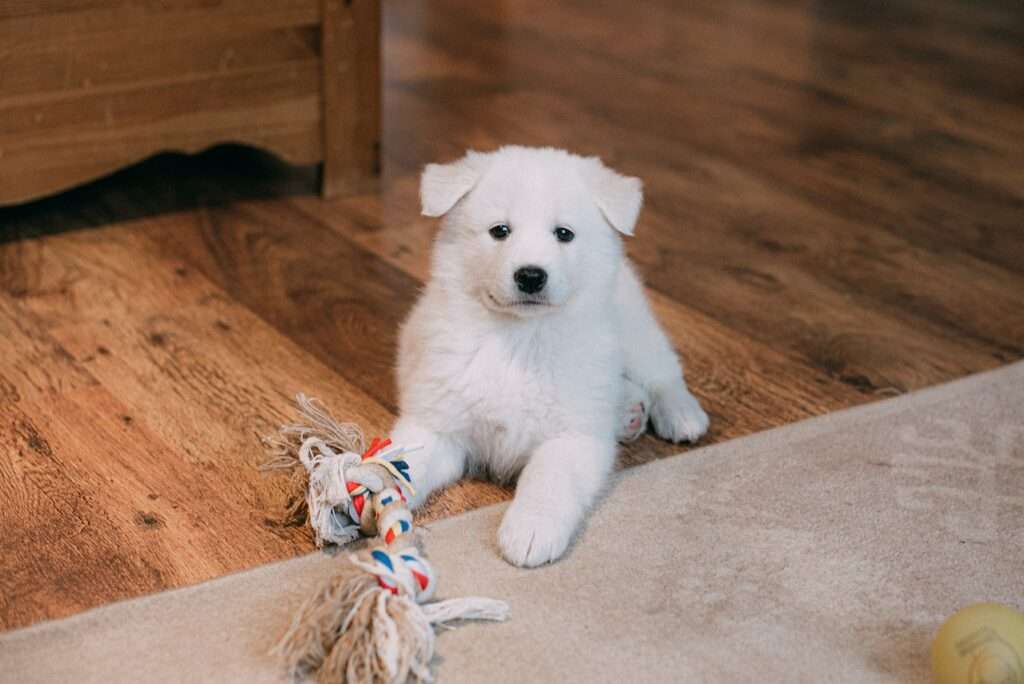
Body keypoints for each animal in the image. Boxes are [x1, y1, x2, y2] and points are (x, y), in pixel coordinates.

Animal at [395, 145, 708, 565]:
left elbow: (549, 478)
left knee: (662, 370)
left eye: (564, 234)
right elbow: (404, 460)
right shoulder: (438, 423)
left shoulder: (571, 436)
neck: (520, 339)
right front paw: (357, 489)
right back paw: (627, 411)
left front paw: (530, 530)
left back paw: (681, 414)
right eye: (500, 231)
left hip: (632, 326)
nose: (530, 276)